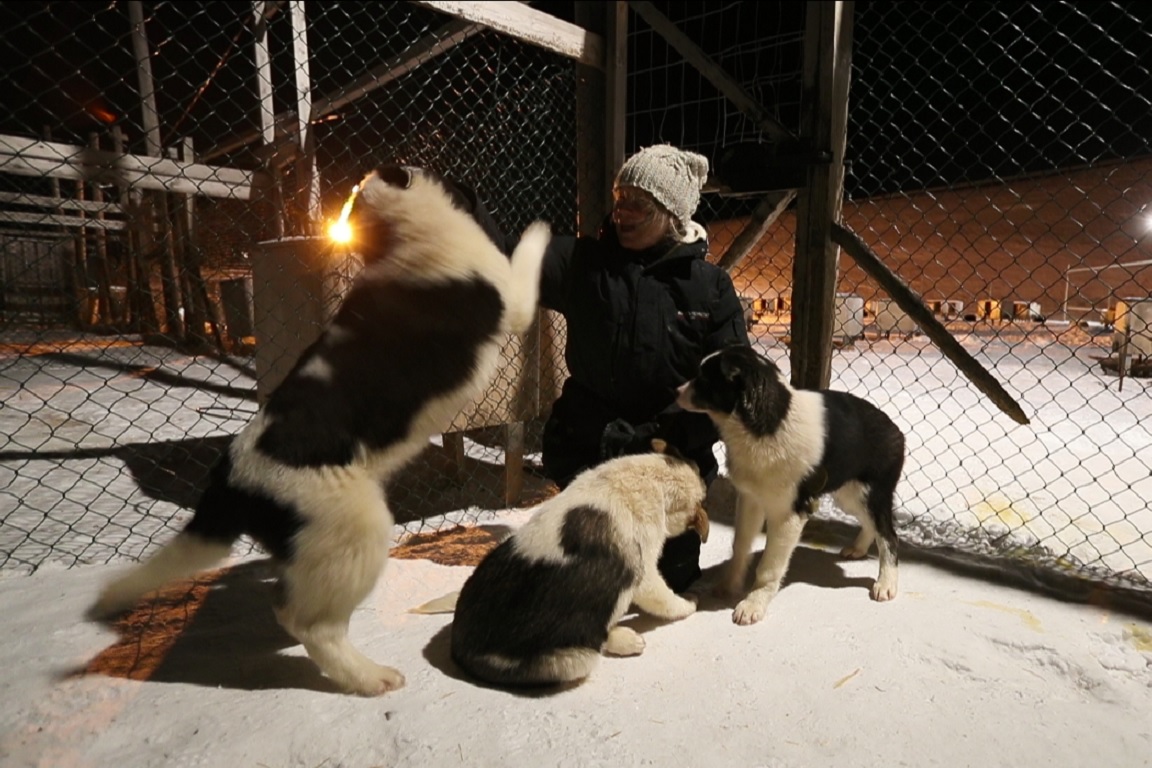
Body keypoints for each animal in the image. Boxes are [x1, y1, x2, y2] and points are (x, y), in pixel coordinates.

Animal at [85, 165, 548, 695]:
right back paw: (368, 676)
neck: (402, 231)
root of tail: (232, 480)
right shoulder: (512, 298)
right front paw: (541, 230)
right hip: (356, 530)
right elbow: (527, 259)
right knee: (310, 623)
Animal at [449, 442, 709, 686]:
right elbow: (667, 599)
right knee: (593, 643)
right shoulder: (643, 574)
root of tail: (459, 651)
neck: (650, 479)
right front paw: (688, 604)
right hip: (577, 661)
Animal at [672, 345, 907, 626]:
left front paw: (753, 604)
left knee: (889, 536)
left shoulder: (788, 515)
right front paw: (729, 586)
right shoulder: (750, 500)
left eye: (705, 379)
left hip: (871, 494)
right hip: (848, 495)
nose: (675, 392)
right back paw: (858, 549)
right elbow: (740, 547)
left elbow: (768, 568)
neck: (768, 423)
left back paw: (886, 583)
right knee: (872, 525)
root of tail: (896, 430)